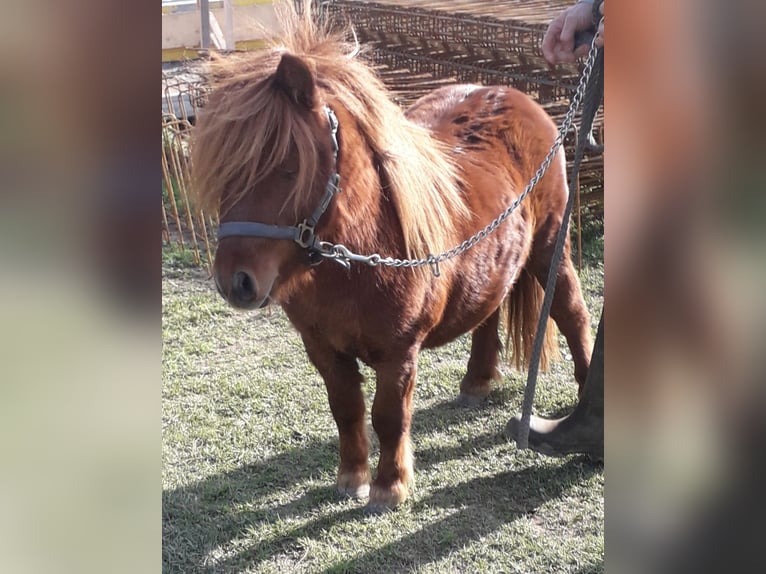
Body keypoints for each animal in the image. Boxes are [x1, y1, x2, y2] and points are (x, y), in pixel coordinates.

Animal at [192, 9, 592, 516]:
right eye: (225, 172)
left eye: (288, 167)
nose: (235, 282)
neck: (359, 258)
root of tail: (518, 98)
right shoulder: (321, 347)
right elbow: (346, 409)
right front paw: (351, 478)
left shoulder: (398, 351)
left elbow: (388, 415)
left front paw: (389, 486)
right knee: (490, 308)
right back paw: (477, 382)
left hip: (549, 246)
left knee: (572, 313)